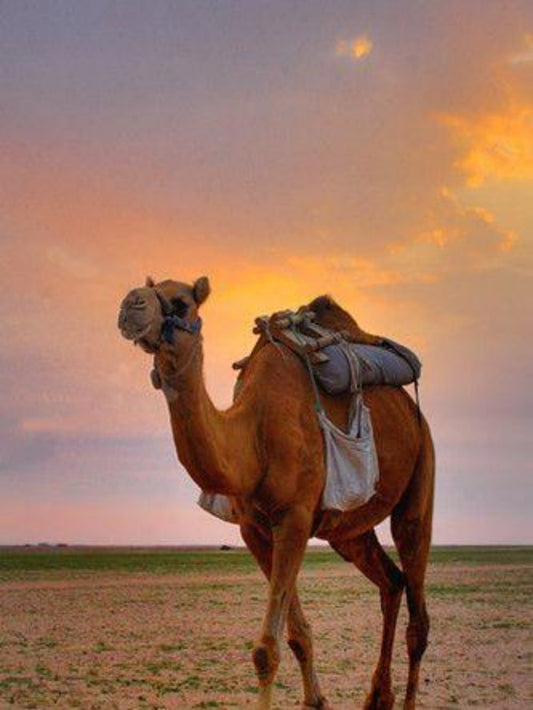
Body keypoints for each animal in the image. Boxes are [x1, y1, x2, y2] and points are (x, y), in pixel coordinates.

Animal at [118, 276, 435, 710]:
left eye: (181, 303)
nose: (130, 305)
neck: (253, 436)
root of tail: (415, 414)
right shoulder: (254, 529)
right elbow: (297, 635)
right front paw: (316, 700)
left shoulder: (294, 518)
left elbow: (266, 649)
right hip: (348, 531)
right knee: (391, 581)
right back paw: (376, 696)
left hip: (420, 479)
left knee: (418, 617)